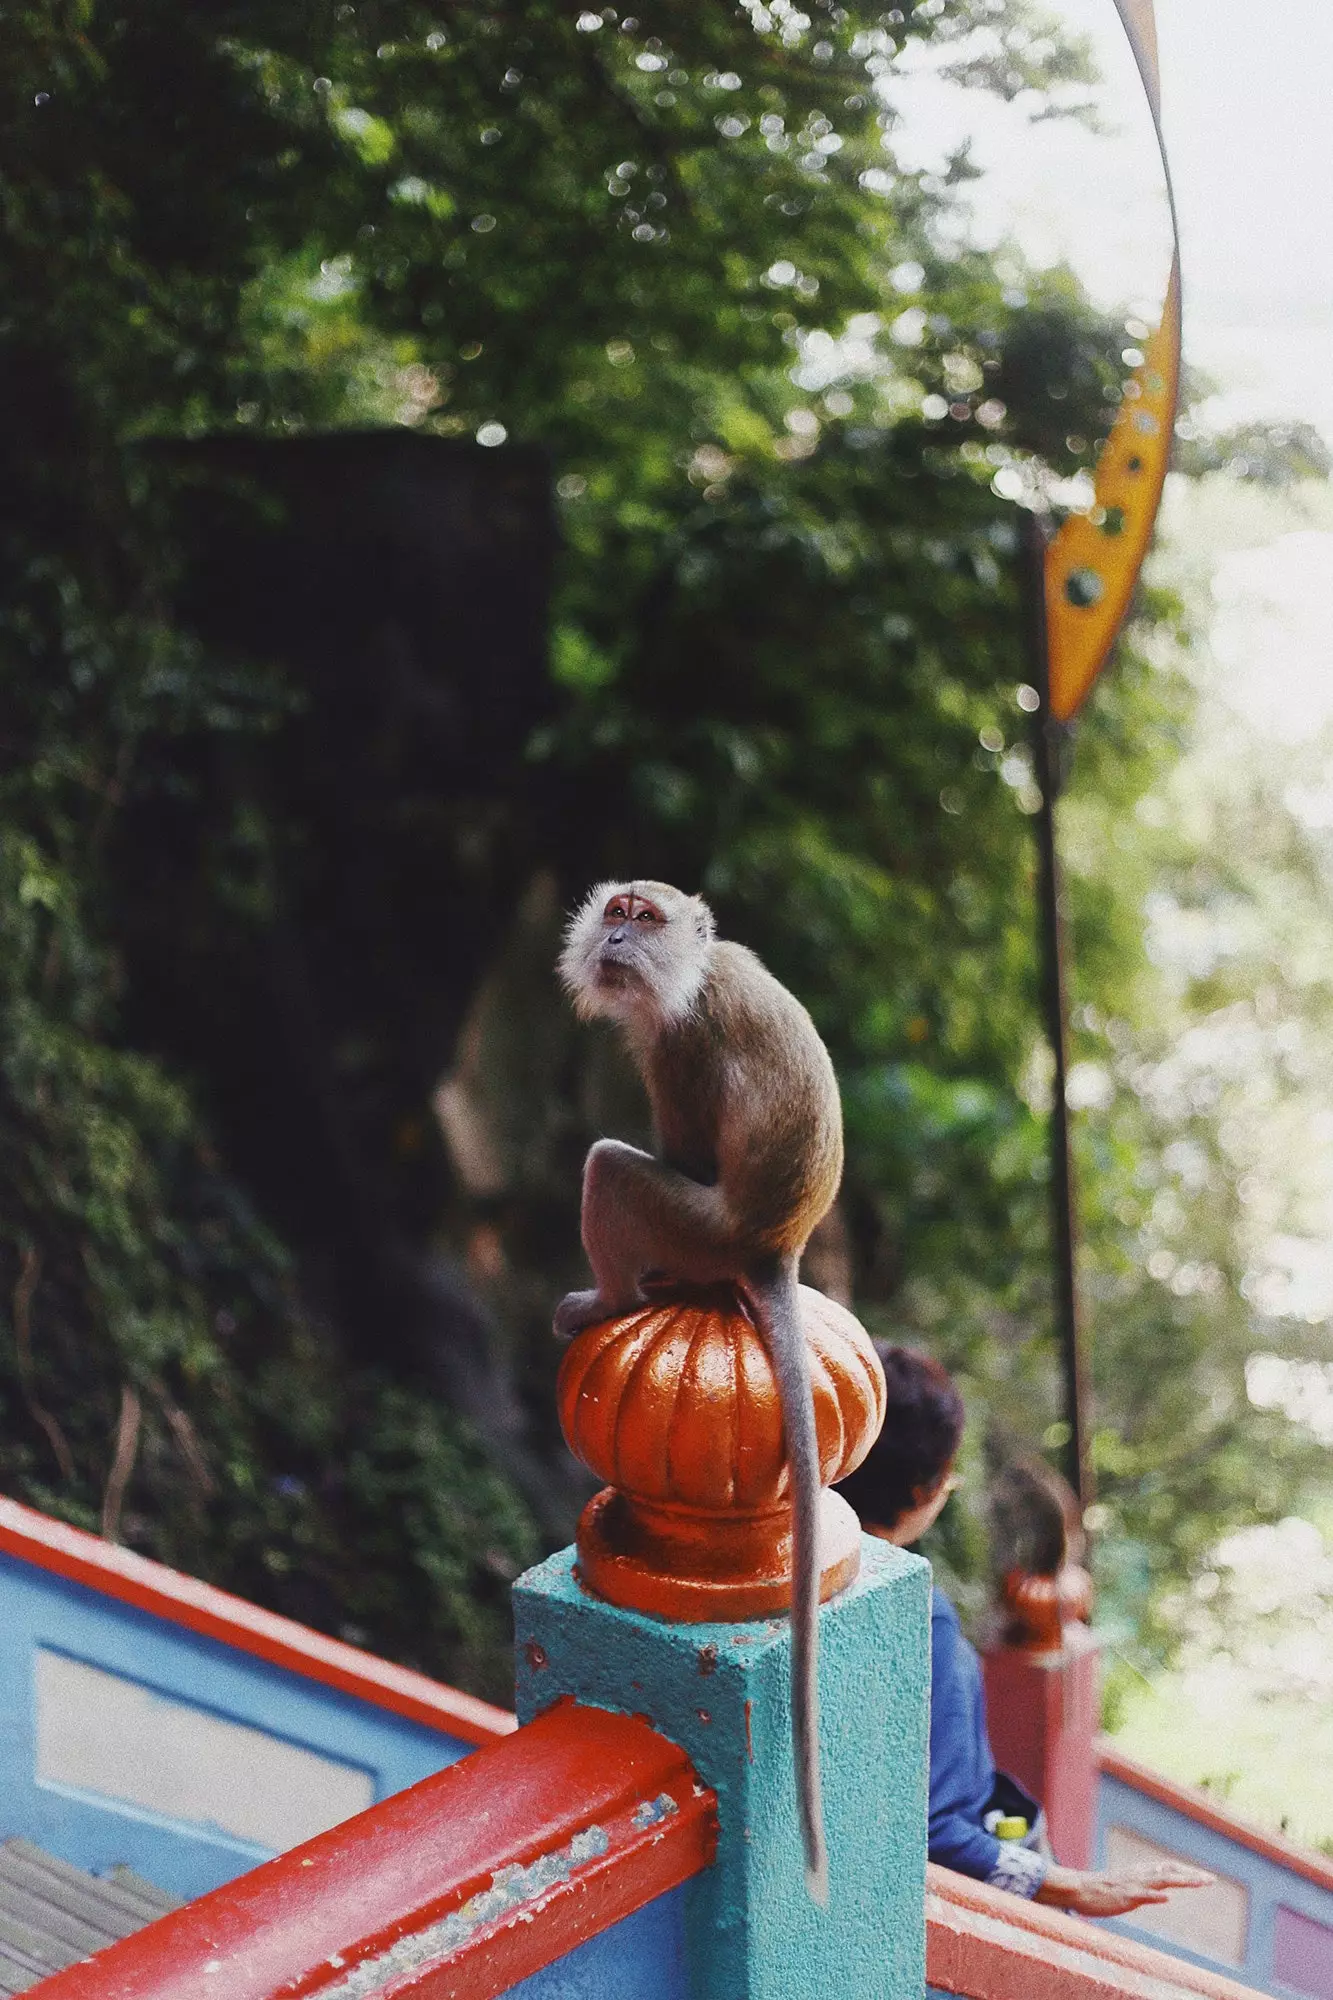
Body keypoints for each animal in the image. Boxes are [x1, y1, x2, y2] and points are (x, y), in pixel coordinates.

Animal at [552, 880, 840, 1904]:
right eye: (616, 910)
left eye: (644, 917)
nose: (618, 938)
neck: (698, 970)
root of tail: (771, 1250)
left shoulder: (676, 1045)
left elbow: (675, 1149)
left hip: (694, 1232)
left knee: (610, 1167)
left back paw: (612, 1298)